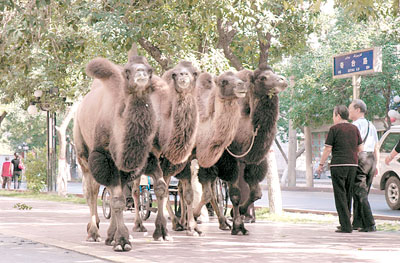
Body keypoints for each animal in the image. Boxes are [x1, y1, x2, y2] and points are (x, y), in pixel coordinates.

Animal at [196, 63, 288, 235]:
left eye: (273, 73)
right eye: (263, 78)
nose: (283, 80)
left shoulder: (254, 161)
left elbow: (256, 193)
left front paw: (236, 216)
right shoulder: (229, 160)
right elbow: (235, 195)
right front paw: (238, 225)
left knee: (211, 191)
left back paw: (222, 223)